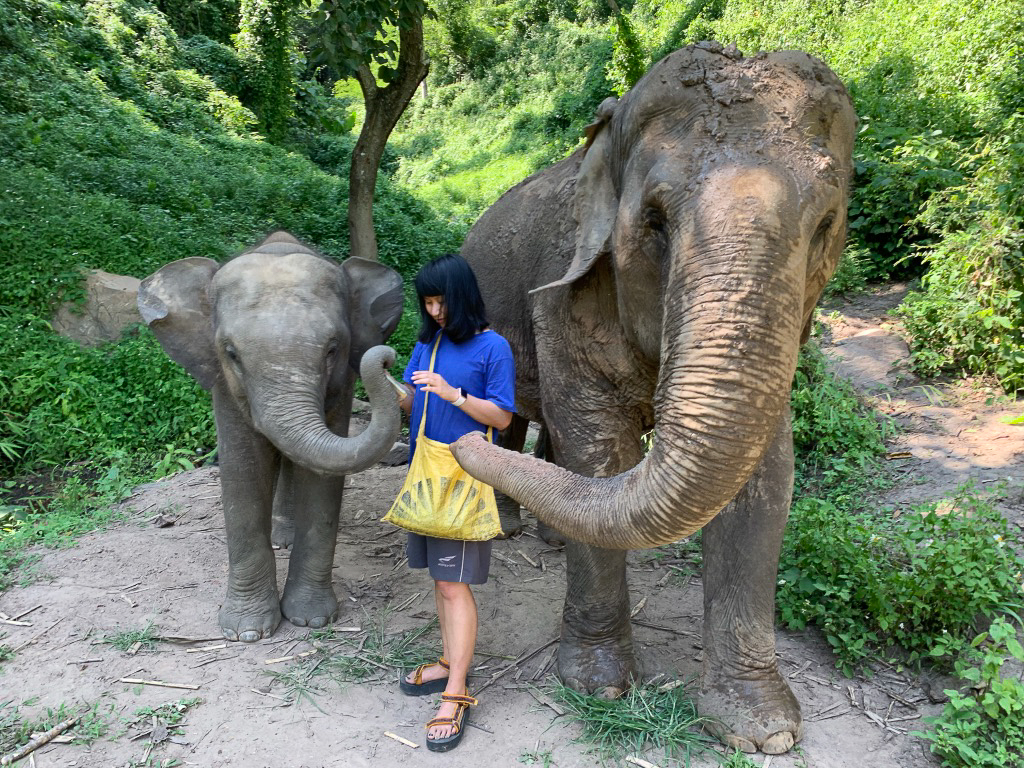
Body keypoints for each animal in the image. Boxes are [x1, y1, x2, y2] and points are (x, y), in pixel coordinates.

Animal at [140, 233, 403, 643]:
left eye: (332, 349)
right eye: (231, 353)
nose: (388, 359)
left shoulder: (340, 386)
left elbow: (323, 479)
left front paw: (311, 621)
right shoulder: (222, 382)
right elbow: (243, 470)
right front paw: (247, 633)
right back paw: (280, 540)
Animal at [452, 43, 860, 757]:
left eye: (827, 223)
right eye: (654, 221)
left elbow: (765, 478)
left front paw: (764, 731)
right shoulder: (563, 293)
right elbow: (596, 446)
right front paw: (597, 687)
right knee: (520, 419)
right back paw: (509, 522)